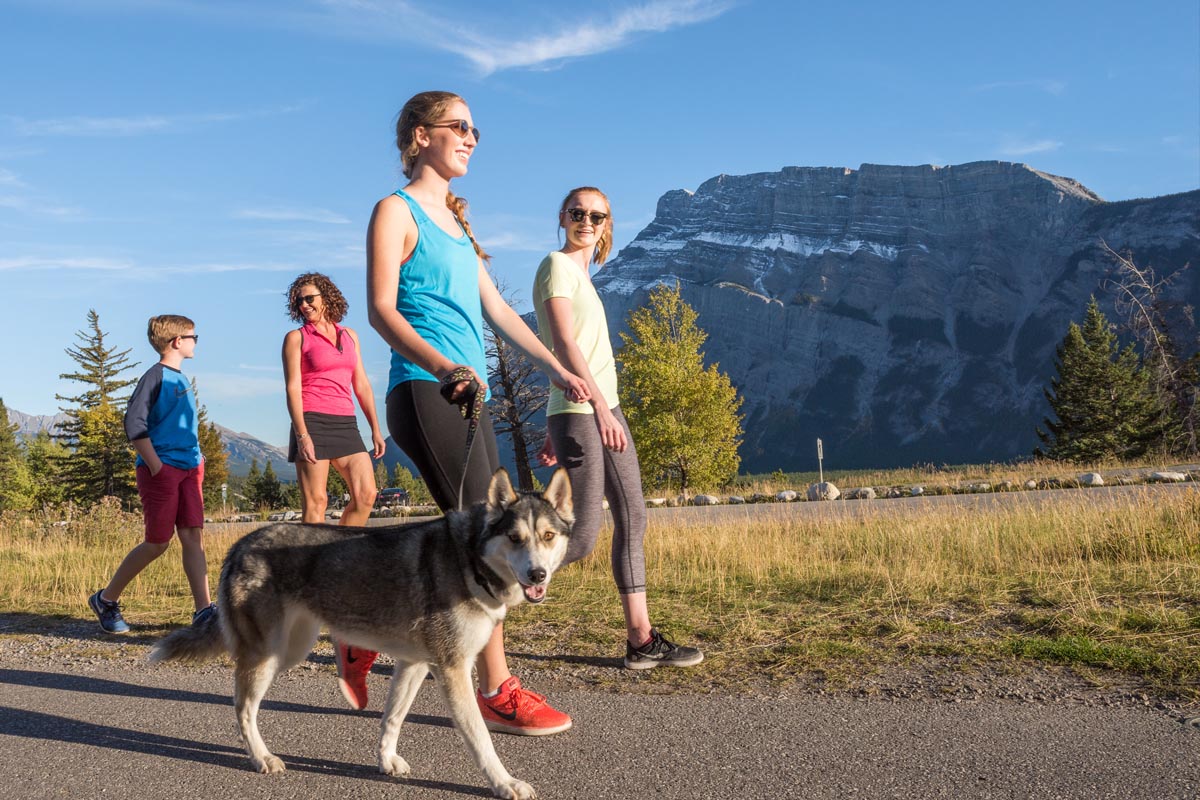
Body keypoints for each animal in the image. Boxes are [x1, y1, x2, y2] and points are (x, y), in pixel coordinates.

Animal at [152, 470, 573, 800]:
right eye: (515, 538)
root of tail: (240, 544)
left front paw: (386, 760)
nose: (537, 574)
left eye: (548, 536)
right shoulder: (452, 671)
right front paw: (504, 783)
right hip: (267, 657)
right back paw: (261, 758)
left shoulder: (415, 663)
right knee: (242, 708)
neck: (468, 557)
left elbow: (392, 719)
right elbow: (481, 740)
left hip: (292, 649)